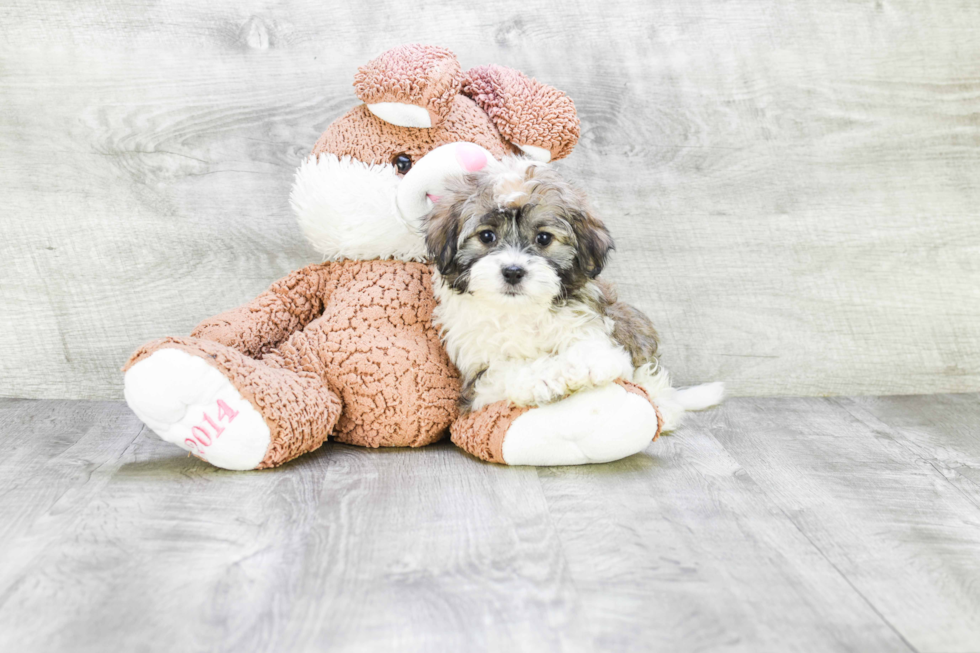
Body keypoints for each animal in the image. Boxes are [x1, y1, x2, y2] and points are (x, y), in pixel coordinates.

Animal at [424, 156, 724, 430]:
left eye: (543, 238)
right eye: (487, 236)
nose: (513, 271)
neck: (522, 311)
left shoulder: (596, 325)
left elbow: (596, 350)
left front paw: (583, 366)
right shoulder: (476, 372)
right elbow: (504, 371)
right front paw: (544, 377)